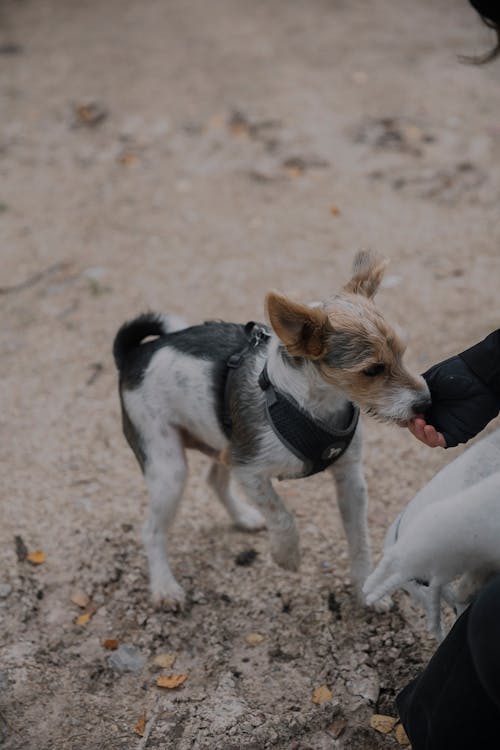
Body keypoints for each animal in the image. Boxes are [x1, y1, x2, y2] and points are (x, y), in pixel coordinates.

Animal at [113, 253, 430, 612]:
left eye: (402, 353)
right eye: (372, 370)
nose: (425, 403)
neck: (310, 403)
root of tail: (135, 354)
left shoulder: (350, 479)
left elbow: (359, 539)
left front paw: (366, 591)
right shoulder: (250, 470)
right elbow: (282, 515)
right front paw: (287, 555)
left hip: (225, 442)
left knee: (215, 480)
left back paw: (243, 517)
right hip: (169, 468)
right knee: (152, 530)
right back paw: (165, 587)